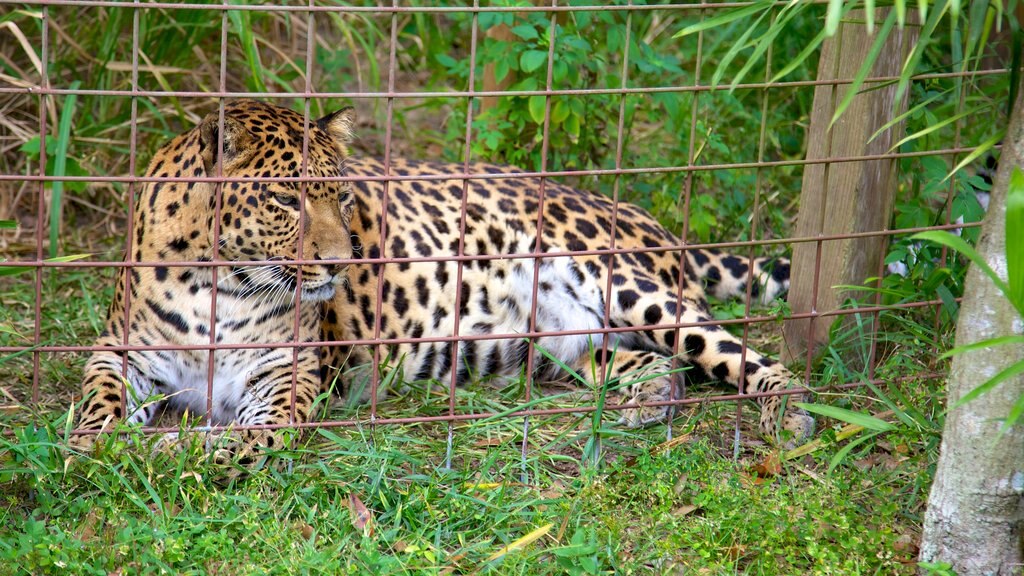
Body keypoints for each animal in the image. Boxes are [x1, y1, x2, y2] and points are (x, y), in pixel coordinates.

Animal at [74, 97, 815, 457]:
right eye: (285, 201)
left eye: (343, 197)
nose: (342, 263)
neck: (219, 284)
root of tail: (638, 213)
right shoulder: (119, 351)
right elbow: (94, 407)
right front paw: (101, 444)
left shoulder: (289, 372)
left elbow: (254, 438)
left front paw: (180, 451)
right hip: (563, 342)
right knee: (655, 366)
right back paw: (646, 400)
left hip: (624, 284)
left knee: (736, 353)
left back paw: (789, 410)